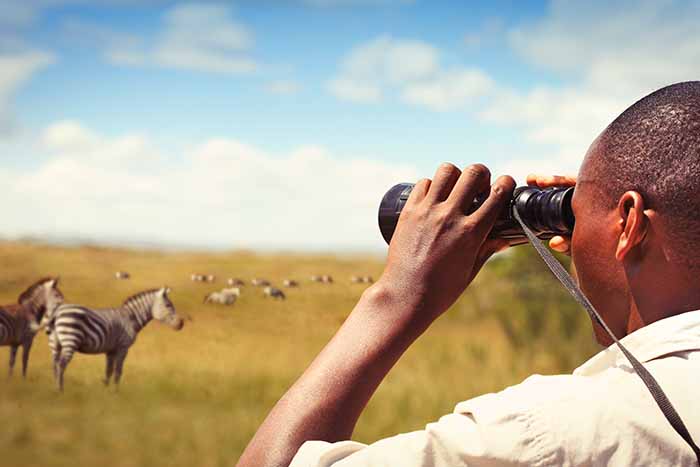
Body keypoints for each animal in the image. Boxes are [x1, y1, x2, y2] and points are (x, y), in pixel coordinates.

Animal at [48, 287, 183, 391]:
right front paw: (115, 392)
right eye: (168, 305)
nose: (181, 324)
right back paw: (61, 390)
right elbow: (118, 371)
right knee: (61, 364)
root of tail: (57, 312)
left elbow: (109, 371)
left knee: (55, 365)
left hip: (55, 343)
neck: (131, 318)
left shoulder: (110, 350)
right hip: (70, 339)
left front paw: (106, 390)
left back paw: (56, 390)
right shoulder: (123, 347)